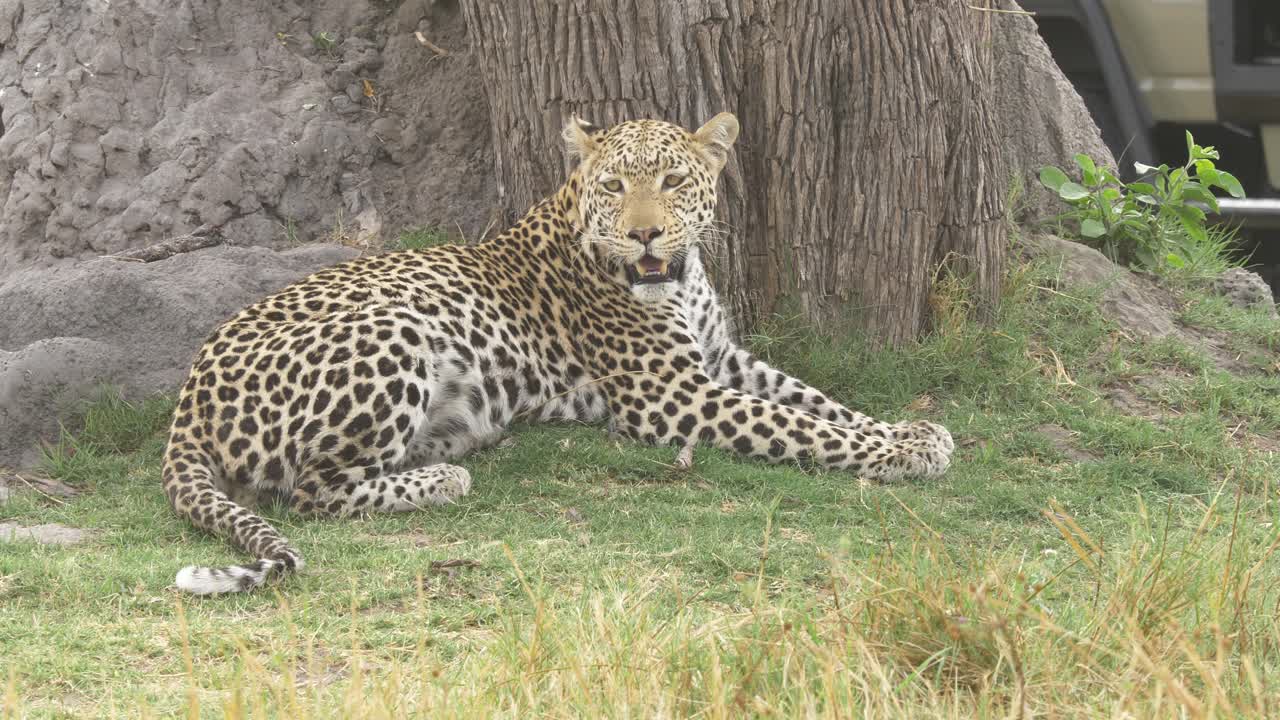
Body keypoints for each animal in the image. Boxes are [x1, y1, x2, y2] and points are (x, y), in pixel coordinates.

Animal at [163, 112, 954, 594]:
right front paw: (905, 453)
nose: (644, 234)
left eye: (673, 181)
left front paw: (914, 432)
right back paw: (443, 478)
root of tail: (188, 398)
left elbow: (816, 402)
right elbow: (800, 426)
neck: (682, 275)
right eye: (614, 185)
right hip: (392, 326)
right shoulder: (674, 396)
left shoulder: (722, 359)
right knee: (310, 490)